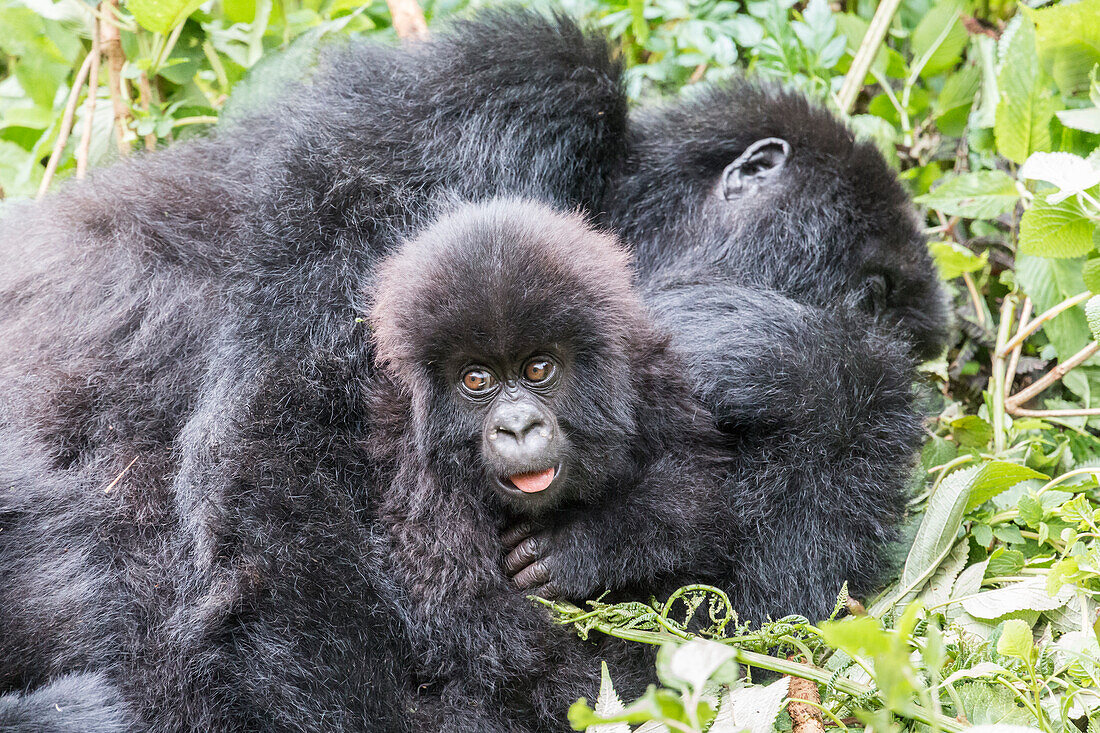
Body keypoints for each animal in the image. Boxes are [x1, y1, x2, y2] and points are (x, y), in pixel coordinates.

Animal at [369, 195, 726, 726]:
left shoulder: (648, 373)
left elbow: (692, 491)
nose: (518, 427)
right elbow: (482, 623)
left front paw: (574, 546)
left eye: (538, 369)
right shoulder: (415, 463)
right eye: (476, 379)